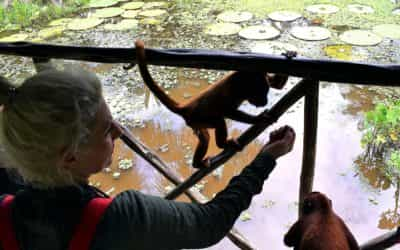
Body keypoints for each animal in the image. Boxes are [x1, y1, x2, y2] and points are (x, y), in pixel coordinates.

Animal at [133, 40, 292, 168]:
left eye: (266, 93)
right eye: (261, 94)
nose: (265, 101)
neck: (244, 80)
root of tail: (186, 106)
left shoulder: (260, 75)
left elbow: (275, 84)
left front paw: (290, 54)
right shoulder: (234, 89)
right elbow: (228, 111)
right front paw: (258, 119)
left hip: (195, 123)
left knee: (205, 139)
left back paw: (197, 163)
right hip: (199, 118)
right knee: (219, 121)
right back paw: (222, 144)